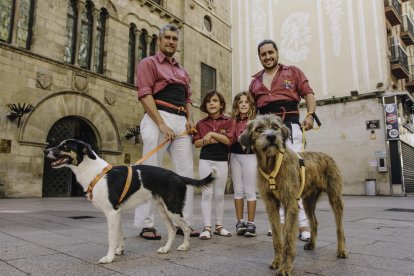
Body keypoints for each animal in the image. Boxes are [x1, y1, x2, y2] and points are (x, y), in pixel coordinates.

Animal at [44, 139, 215, 264]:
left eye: (65, 146)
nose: (45, 150)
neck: (95, 172)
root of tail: (178, 176)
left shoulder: (111, 213)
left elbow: (111, 238)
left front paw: (109, 258)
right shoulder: (116, 213)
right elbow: (120, 235)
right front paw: (119, 251)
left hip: (173, 210)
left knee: (185, 227)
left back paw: (185, 246)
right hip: (163, 210)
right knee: (173, 230)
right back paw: (166, 249)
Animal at [238, 113, 348, 274]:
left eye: (275, 127)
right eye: (258, 129)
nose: (271, 137)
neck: (272, 165)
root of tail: (327, 156)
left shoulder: (290, 203)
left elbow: (289, 239)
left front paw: (285, 266)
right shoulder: (271, 205)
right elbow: (277, 236)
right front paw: (277, 261)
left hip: (335, 198)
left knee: (339, 227)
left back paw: (342, 250)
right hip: (308, 202)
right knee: (314, 222)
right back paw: (311, 243)